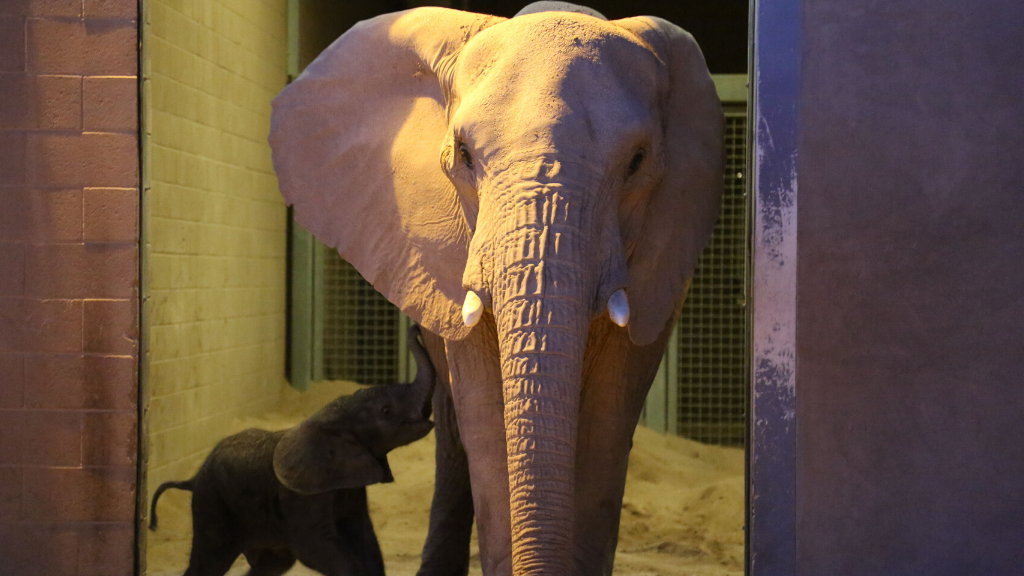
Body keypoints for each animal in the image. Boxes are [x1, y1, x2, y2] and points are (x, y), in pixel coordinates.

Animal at [149, 323, 438, 573]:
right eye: (386, 411)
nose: (415, 328)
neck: (332, 418)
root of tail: (193, 478)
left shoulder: (348, 482)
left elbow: (365, 539)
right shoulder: (300, 494)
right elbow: (313, 546)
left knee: (273, 565)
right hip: (212, 502)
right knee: (210, 561)